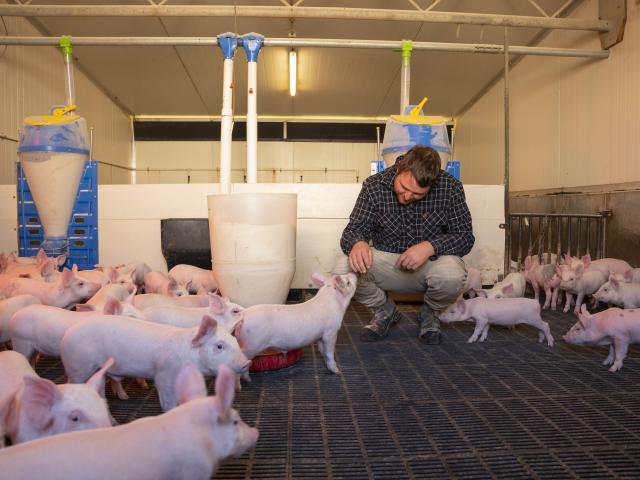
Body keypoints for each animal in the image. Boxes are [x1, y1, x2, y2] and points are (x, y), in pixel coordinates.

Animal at [61, 314, 251, 411]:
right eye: (219, 346)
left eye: (235, 341)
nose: (247, 362)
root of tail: (67, 333)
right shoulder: (163, 377)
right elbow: (168, 402)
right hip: (78, 367)